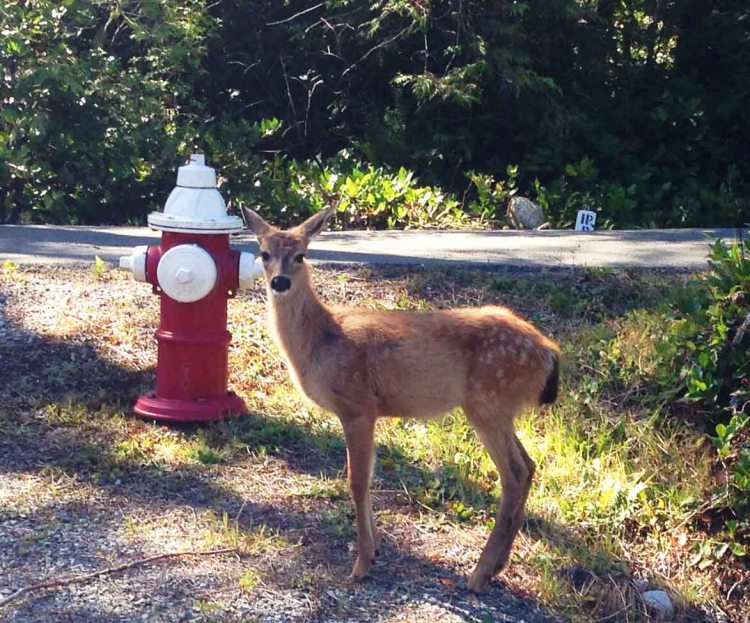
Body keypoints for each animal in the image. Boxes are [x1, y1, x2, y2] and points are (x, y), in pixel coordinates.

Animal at [241, 206, 560, 593]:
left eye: (301, 255)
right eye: (264, 254)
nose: (280, 282)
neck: (322, 340)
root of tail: (550, 352)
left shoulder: (358, 405)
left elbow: (356, 481)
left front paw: (362, 563)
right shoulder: (368, 412)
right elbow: (366, 477)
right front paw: (376, 548)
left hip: (487, 402)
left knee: (513, 474)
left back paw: (479, 574)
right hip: (500, 409)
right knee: (529, 466)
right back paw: (496, 566)